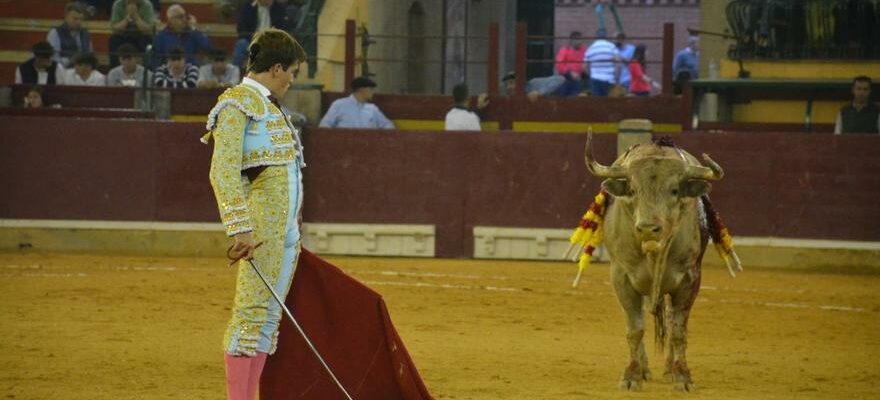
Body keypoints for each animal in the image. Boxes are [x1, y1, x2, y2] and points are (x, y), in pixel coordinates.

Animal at [588, 133, 724, 392]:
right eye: (632, 189)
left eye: (674, 190)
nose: (647, 228)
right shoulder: (621, 278)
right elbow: (635, 329)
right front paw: (631, 376)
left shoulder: (690, 279)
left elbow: (678, 331)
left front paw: (682, 377)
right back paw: (644, 369)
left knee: (670, 320)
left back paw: (670, 369)